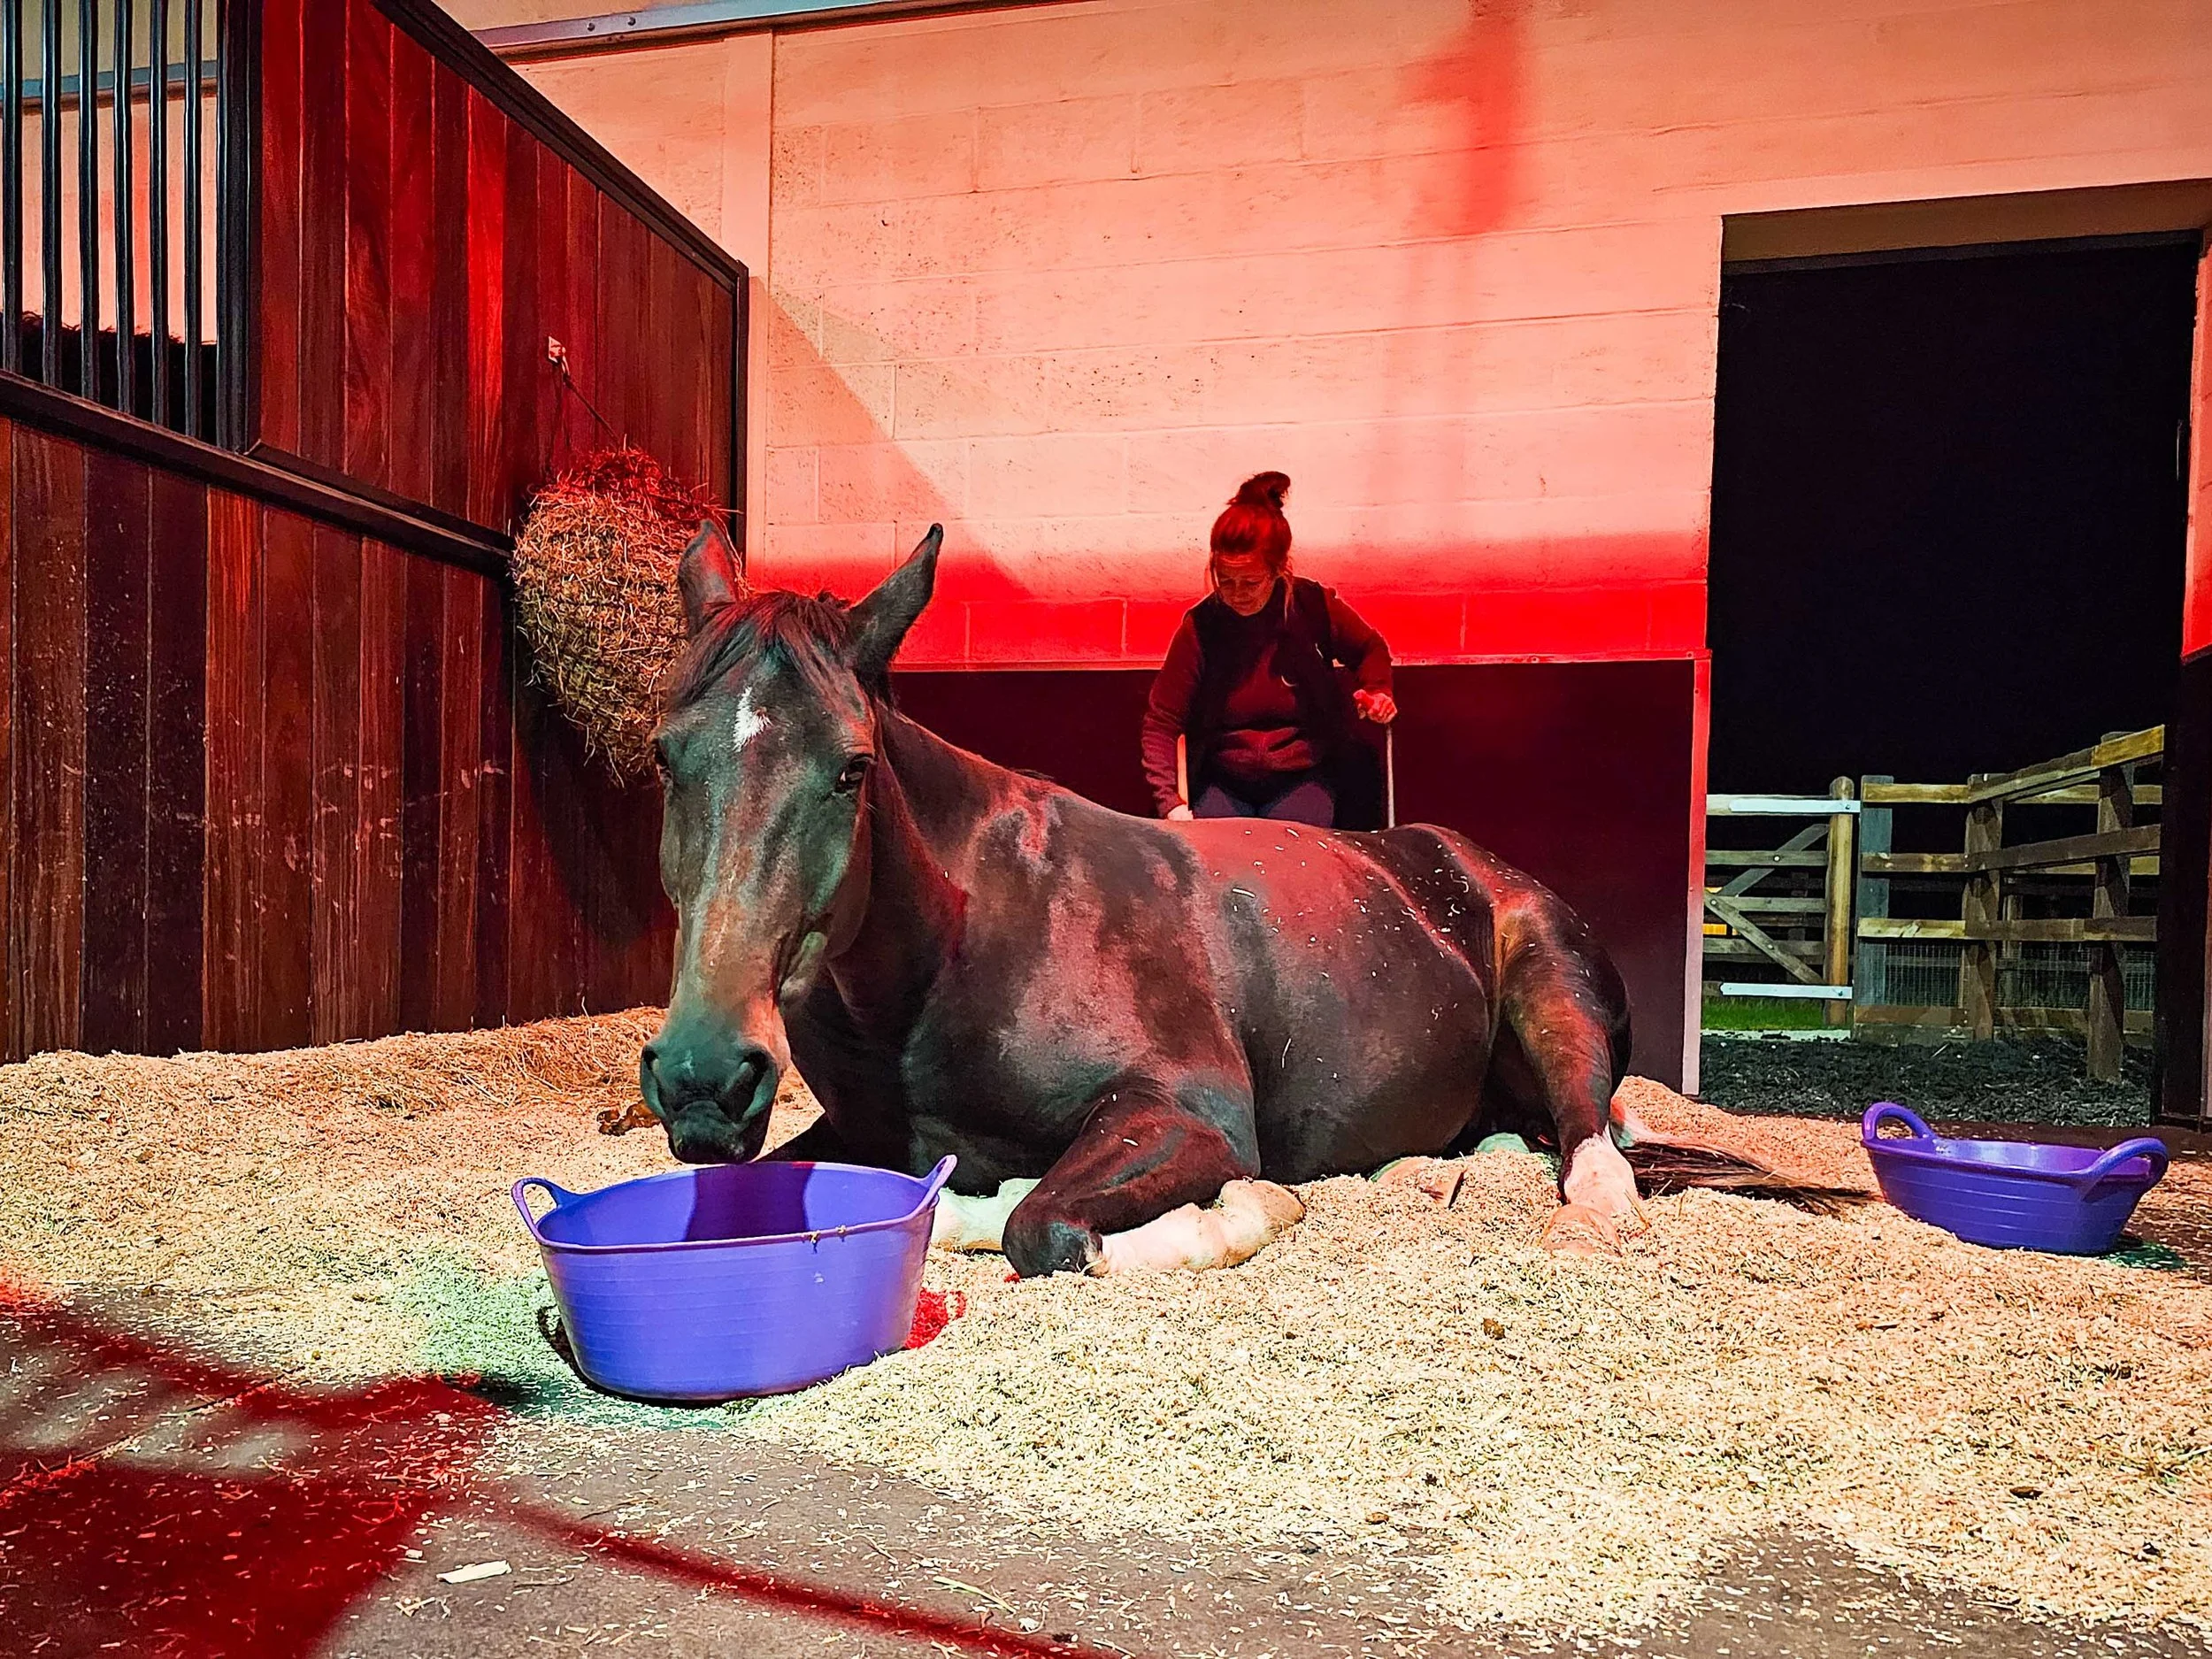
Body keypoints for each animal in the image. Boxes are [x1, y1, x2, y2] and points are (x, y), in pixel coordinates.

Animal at [638, 519, 1846, 1278]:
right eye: (662, 757)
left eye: (850, 768)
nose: (704, 1077)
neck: (967, 944)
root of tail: (1467, 867)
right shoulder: (850, 1126)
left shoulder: (1187, 1115)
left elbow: (1043, 1225)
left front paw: (1248, 1211)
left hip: (1558, 1002)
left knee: (1590, 1141)